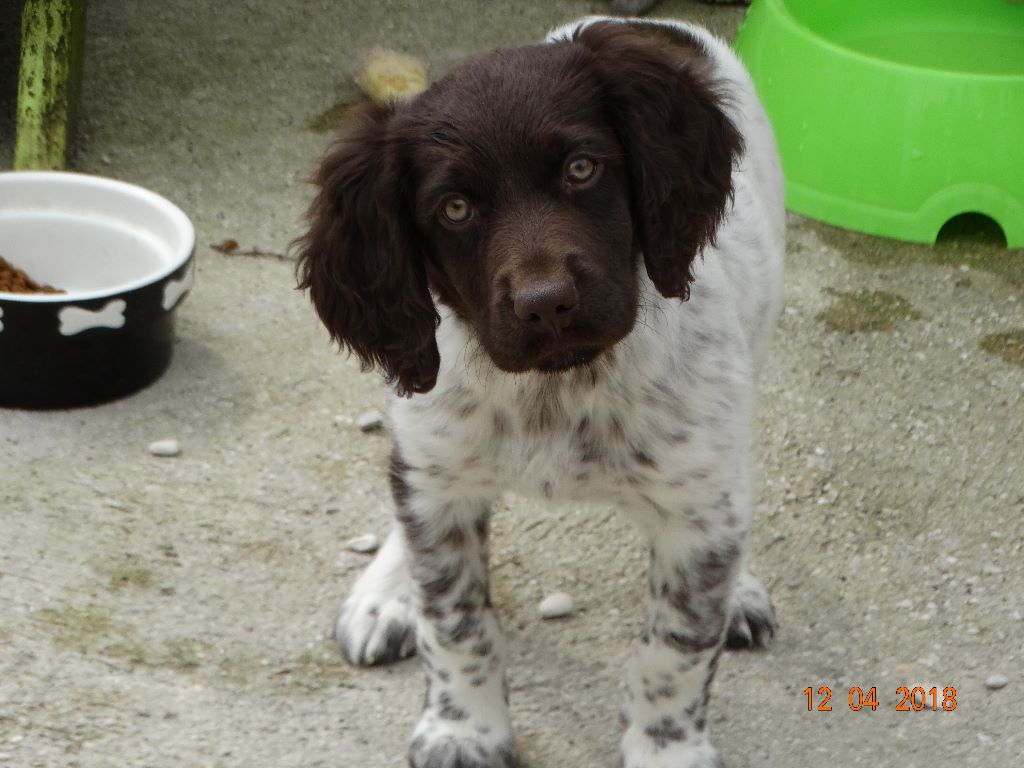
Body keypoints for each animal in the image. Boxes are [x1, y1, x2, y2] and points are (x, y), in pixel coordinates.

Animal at [296, 13, 782, 768]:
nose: (546, 303)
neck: (558, 386)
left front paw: (666, 747)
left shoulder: (697, 506)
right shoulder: (439, 481)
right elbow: (455, 622)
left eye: (582, 169)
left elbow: (673, 648)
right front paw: (463, 729)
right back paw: (386, 591)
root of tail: (642, 22)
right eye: (455, 208)